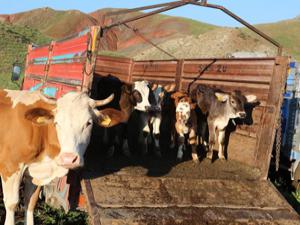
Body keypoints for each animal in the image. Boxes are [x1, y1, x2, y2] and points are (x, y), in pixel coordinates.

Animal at [0, 89, 114, 225]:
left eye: (89, 123)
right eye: (57, 122)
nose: (69, 159)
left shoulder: (35, 171)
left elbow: (30, 202)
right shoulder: (10, 167)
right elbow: (12, 204)